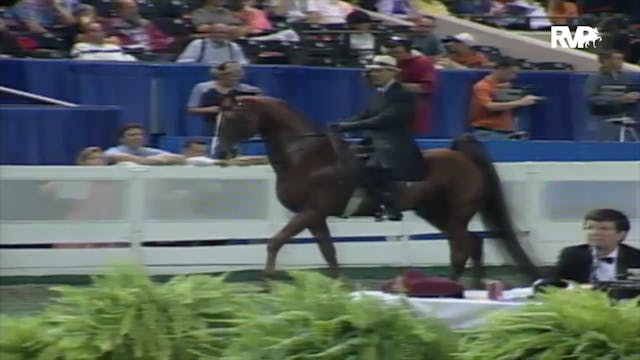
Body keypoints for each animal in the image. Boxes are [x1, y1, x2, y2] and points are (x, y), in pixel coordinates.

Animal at [220, 95, 540, 286]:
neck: (307, 157)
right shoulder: (315, 216)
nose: (222, 151)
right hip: (435, 213)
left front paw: (266, 282)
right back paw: (468, 287)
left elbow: (275, 242)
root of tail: (461, 155)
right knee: (472, 244)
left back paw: (455, 287)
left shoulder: (310, 212)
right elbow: (328, 252)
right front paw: (339, 287)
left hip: (457, 213)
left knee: (462, 248)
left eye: (234, 118)